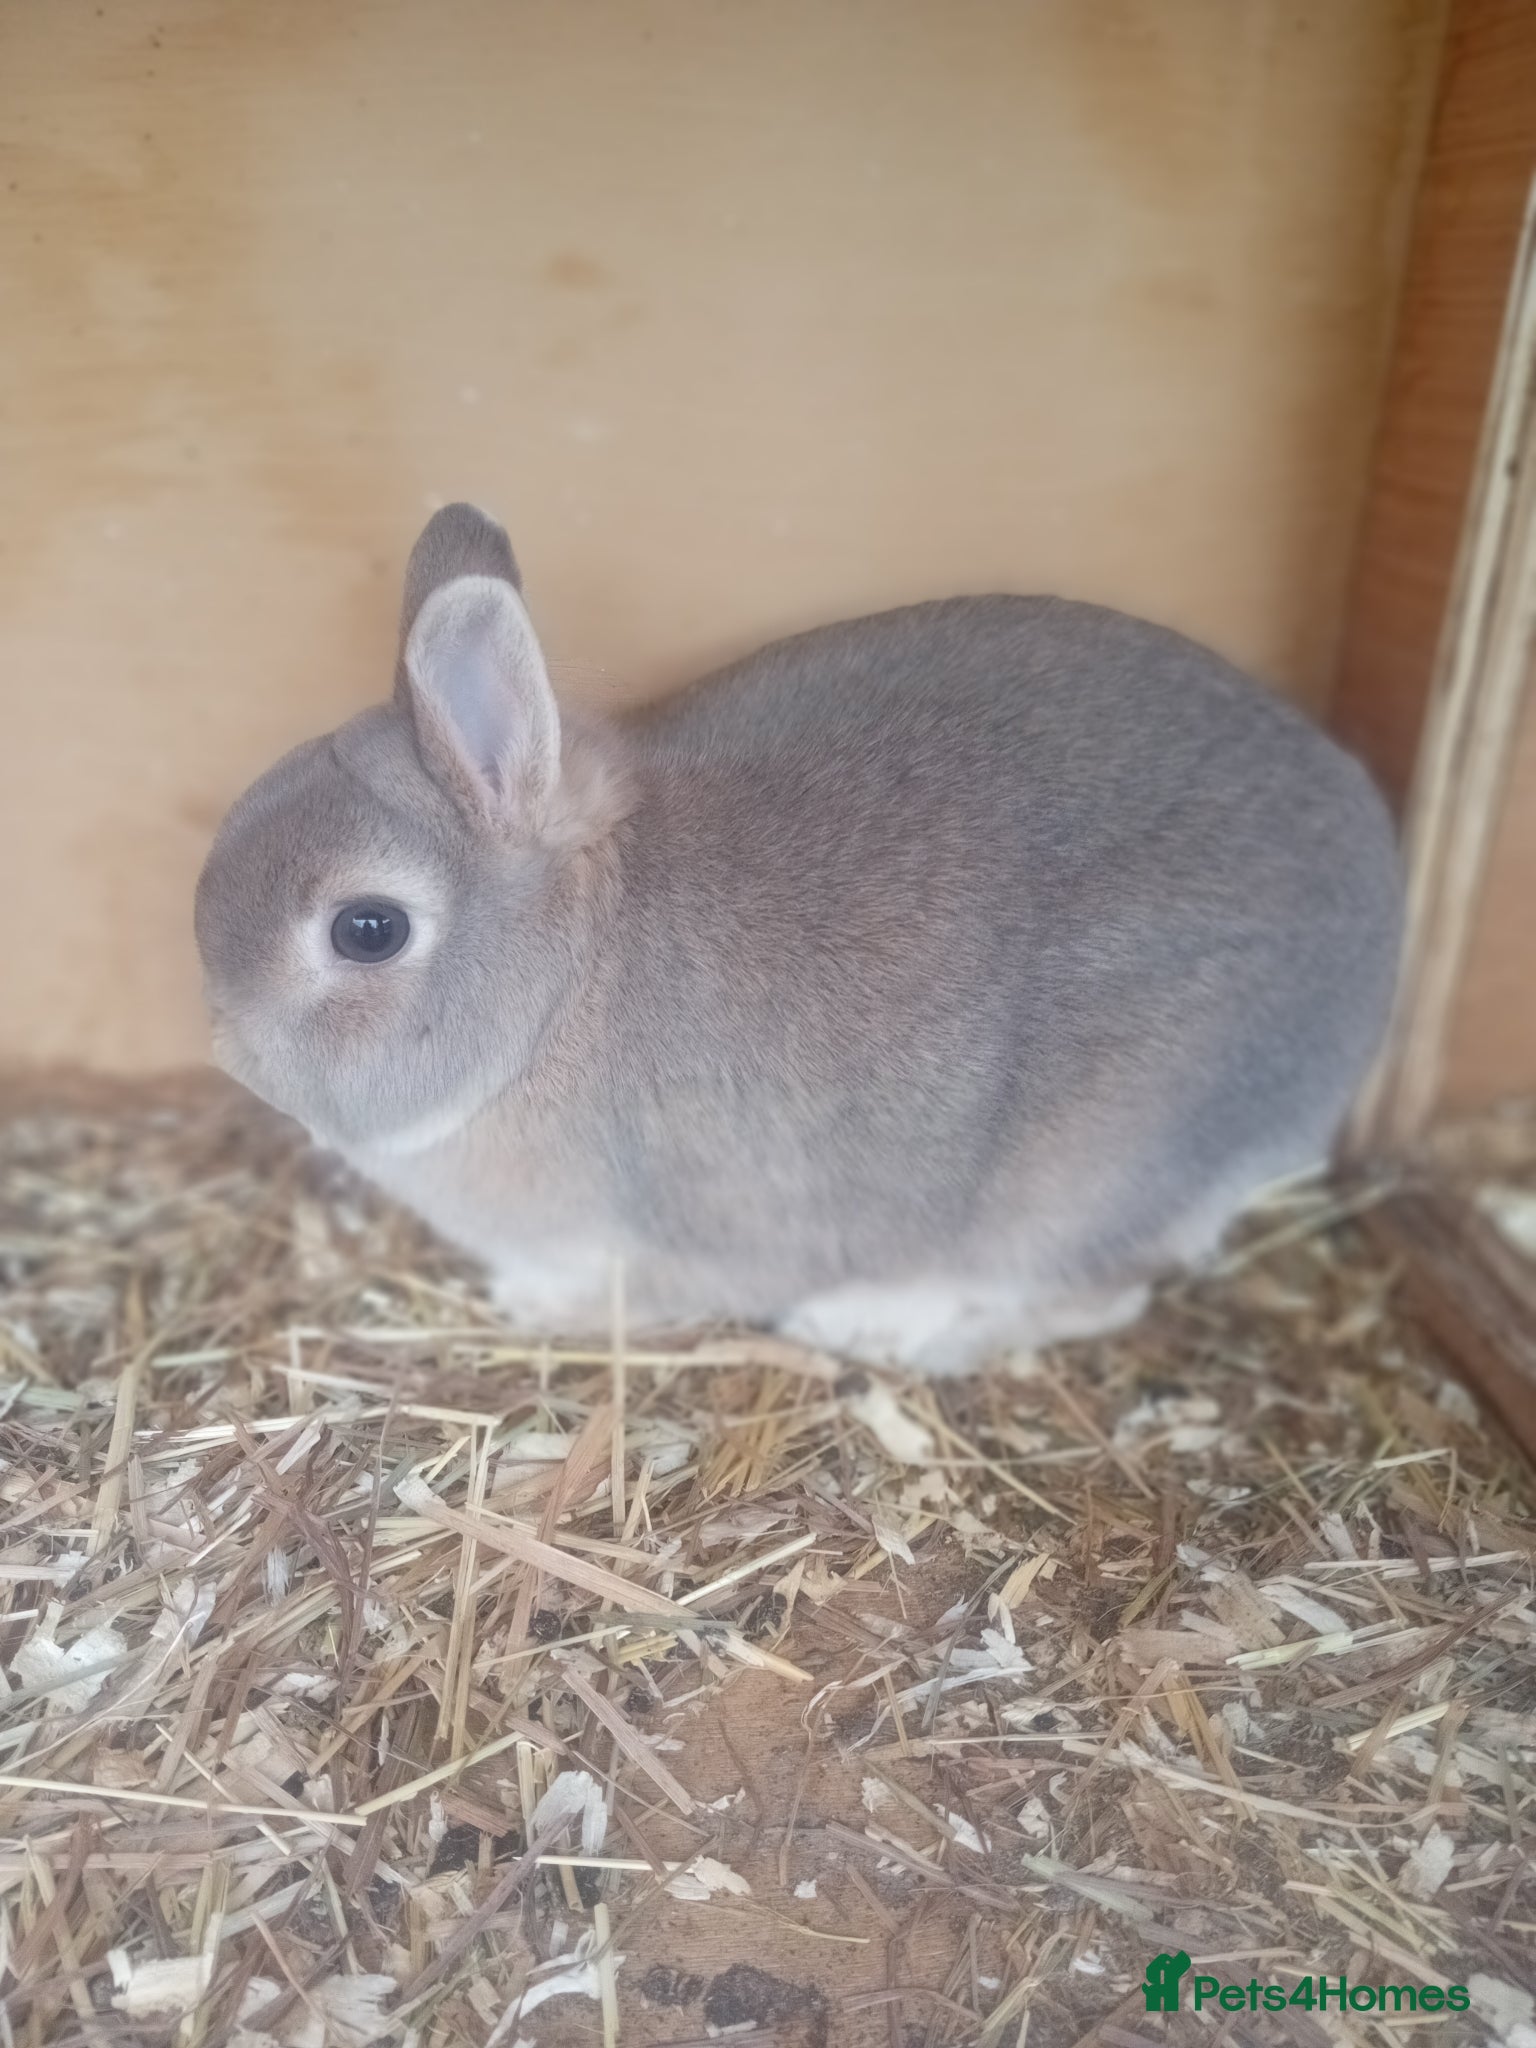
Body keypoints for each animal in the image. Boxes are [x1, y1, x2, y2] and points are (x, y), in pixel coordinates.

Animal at [195, 502, 1403, 1376]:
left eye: (368, 929)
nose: (224, 1044)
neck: (560, 990)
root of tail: (1380, 932)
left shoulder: (696, 1228)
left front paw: (538, 1302)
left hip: (1102, 1158)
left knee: (1093, 1287)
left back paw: (883, 1327)